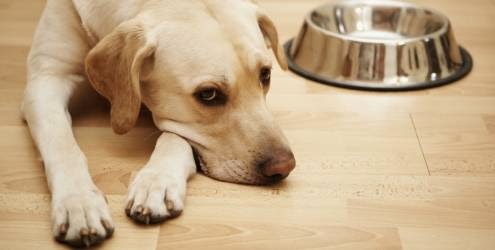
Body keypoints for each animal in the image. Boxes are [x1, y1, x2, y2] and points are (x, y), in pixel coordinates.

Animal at [22, 0, 294, 246]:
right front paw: (79, 202)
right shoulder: (45, 79)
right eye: (208, 94)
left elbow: (173, 137)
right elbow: (63, 146)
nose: (284, 166)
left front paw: (157, 182)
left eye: (265, 75)